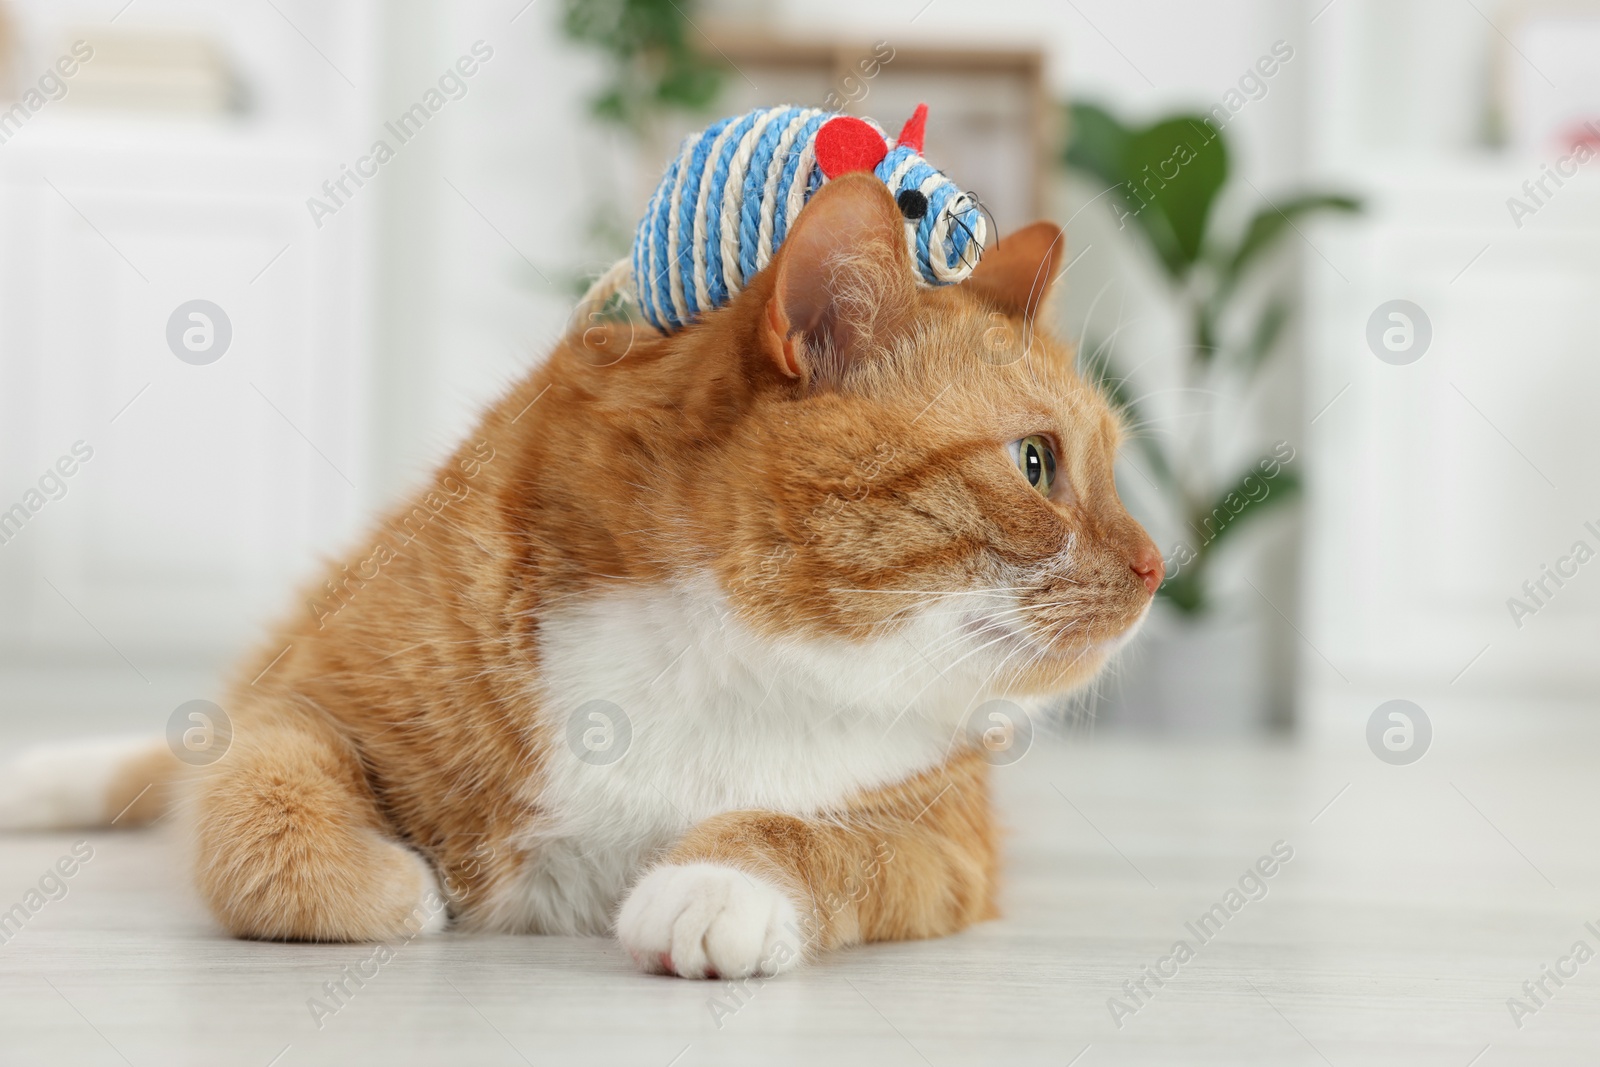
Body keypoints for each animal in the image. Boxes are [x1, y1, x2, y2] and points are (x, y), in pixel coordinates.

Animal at [0, 175, 1164, 985]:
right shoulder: (308, 696)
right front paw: (393, 884)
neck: (724, 659)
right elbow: (256, 798)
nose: (1161, 566)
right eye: (1035, 463)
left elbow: (819, 837)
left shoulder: (946, 843)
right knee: (179, 754)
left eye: (1109, 464)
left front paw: (714, 883)